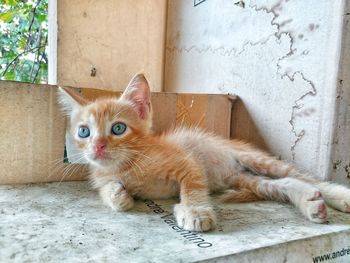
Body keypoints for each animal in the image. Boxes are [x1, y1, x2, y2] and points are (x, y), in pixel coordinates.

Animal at [58, 73, 350, 232]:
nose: (97, 146)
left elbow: (194, 186)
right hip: (245, 179)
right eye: (83, 132)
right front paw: (118, 196)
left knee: (301, 176)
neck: (129, 164)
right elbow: (109, 190)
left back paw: (338, 196)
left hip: (255, 159)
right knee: (283, 183)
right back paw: (311, 203)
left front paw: (195, 212)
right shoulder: (105, 176)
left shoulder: (186, 160)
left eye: (118, 128)